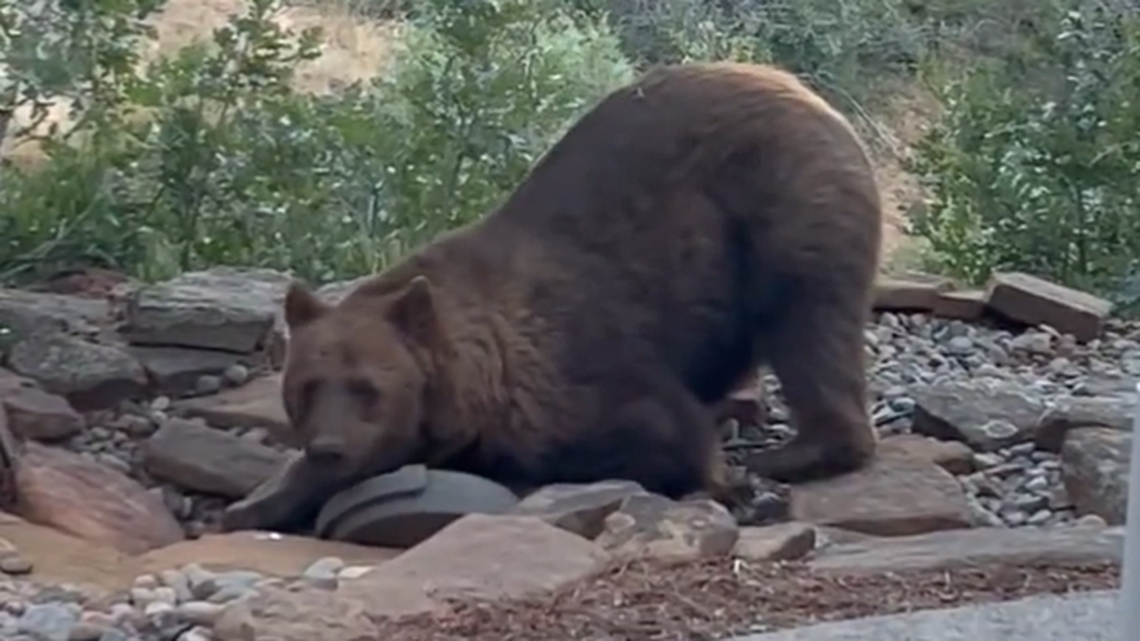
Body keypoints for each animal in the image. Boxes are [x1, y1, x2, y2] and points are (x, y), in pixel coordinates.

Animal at [220, 61, 883, 534]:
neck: (477, 386)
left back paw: (795, 452)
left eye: (368, 388)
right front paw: (258, 502)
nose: (329, 448)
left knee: (809, 327)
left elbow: (651, 427)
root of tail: (806, 91)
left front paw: (721, 475)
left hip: (785, 203)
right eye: (307, 388)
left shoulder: (570, 361)